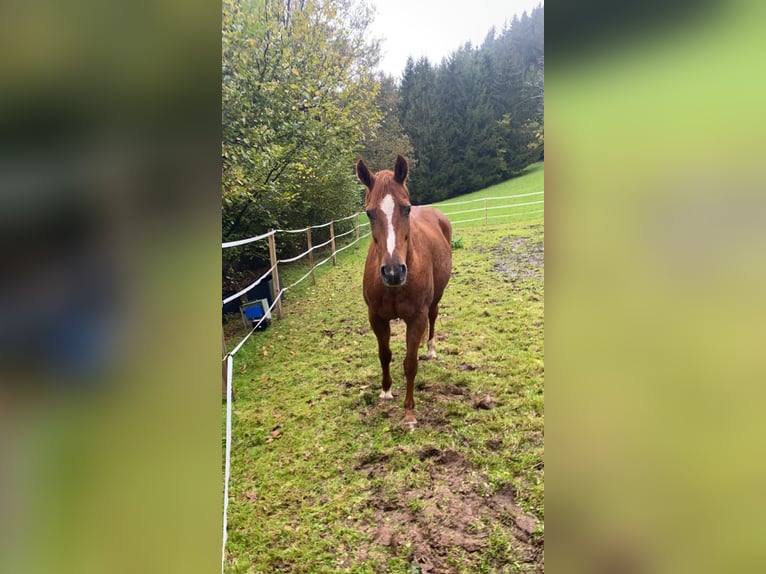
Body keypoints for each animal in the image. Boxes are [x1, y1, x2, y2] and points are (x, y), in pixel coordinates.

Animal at [356, 155, 452, 430]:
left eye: (406, 208)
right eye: (369, 213)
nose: (393, 272)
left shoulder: (416, 317)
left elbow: (410, 364)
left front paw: (409, 413)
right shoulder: (376, 318)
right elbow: (384, 354)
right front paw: (386, 391)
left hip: (435, 301)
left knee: (433, 318)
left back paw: (429, 349)